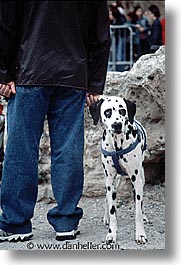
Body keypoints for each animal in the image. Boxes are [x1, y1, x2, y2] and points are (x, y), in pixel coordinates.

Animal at [90, 95, 148, 243]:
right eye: (107, 112)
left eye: (122, 110)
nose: (117, 125)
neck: (117, 145)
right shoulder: (110, 181)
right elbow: (112, 210)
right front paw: (112, 234)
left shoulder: (136, 179)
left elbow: (138, 210)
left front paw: (140, 234)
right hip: (110, 182)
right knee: (107, 198)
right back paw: (106, 217)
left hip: (141, 178)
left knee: (140, 202)